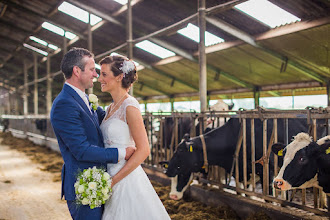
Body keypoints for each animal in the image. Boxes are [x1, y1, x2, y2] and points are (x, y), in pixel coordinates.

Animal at [160, 117, 324, 200]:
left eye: (180, 152)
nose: (172, 196)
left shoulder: (268, 170)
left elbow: (269, 197)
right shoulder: (240, 172)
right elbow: (245, 193)